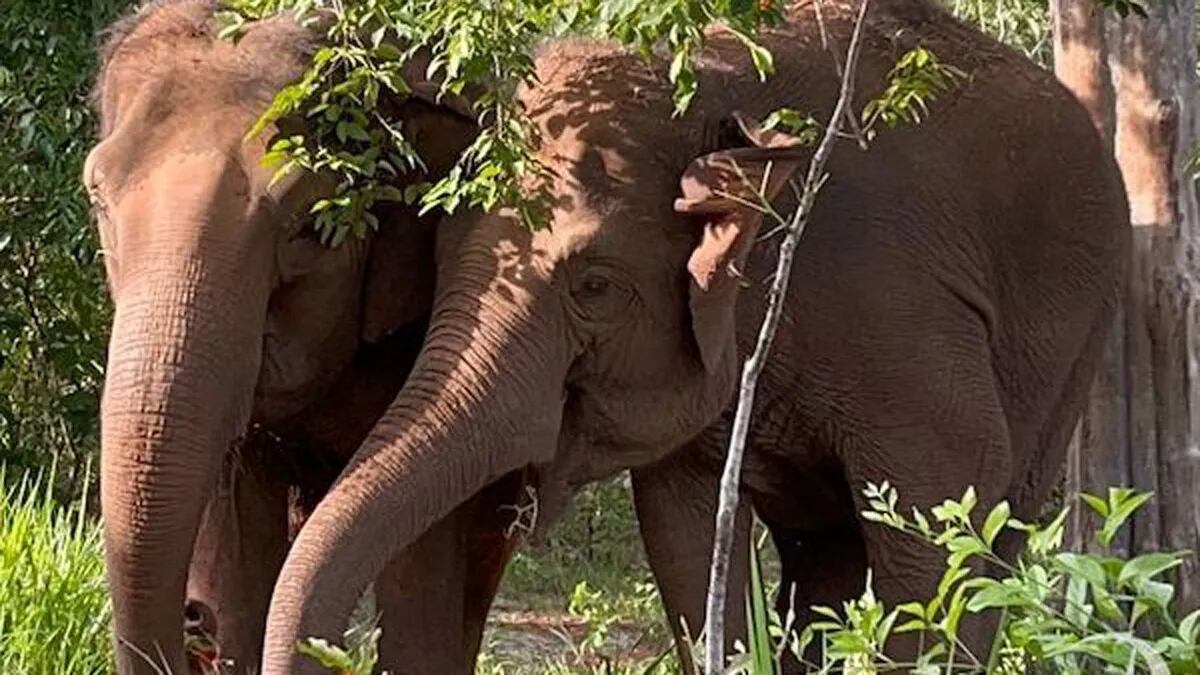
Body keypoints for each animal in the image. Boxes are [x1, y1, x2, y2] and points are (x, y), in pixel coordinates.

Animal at [258, 0, 1128, 667]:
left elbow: (946, 509)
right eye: (438, 255)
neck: (714, 89)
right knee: (825, 554)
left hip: (1079, 343)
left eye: (595, 287)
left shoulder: (898, 311)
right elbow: (686, 533)